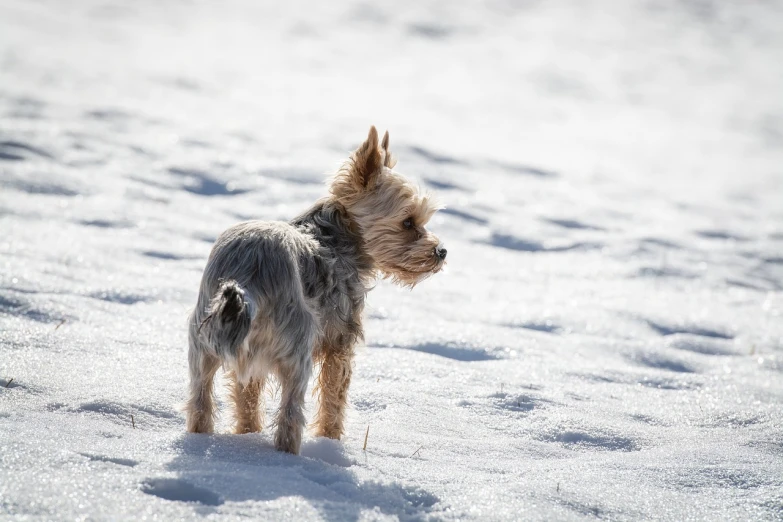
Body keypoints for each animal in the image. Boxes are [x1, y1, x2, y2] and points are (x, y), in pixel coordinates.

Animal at [185, 125, 448, 450]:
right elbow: (335, 396)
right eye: (408, 222)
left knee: (200, 399)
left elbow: (247, 397)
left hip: (204, 338)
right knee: (290, 413)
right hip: (297, 347)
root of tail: (249, 274)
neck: (337, 235)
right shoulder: (340, 341)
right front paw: (330, 439)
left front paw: (247, 433)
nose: (441, 251)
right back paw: (288, 455)